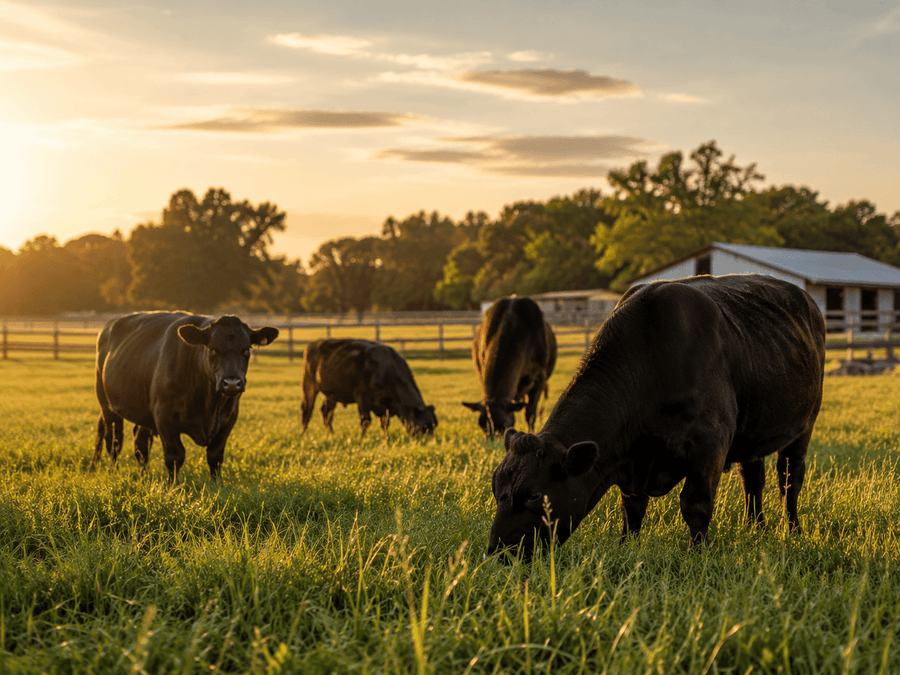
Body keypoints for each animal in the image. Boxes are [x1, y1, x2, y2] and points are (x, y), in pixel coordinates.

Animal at [91, 312, 279, 480]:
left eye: (246, 349)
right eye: (212, 348)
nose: (232, 383)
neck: (209, 404)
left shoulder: (229, 417)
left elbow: (215, 456)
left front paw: (216, 484)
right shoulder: (164, 416)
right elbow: (175, 457)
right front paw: (172, 486)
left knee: (140, 442)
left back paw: (143, 474)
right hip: (106, 404)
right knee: (113, 439)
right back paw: (113, 471)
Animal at [300, 338, 437, 437]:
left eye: (434, 425)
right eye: (424, 427)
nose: (429, 441)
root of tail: (313, 344)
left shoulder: (385, 406)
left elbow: (385, 424)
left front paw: (386, 439)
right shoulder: (362, 400)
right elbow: (366, 421)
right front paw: (363, 437)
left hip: (331, 394)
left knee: (326, 412)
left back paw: (331, 433)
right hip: (309, 386)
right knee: (307, 409)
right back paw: (304, 433)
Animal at [487, 274, 826, 558]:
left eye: (533, 495)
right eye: (496, 488)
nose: (497, 551)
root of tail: (806, 300)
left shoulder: (710, 442)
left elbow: (695, 505)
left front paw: (698, 555)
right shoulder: (633, 462)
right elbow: (632, 508)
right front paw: (626, 548)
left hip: (805, 423)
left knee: (789, 477)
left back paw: (791, 530)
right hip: (751, 431)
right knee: (753, 478)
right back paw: (754, 527)